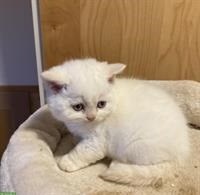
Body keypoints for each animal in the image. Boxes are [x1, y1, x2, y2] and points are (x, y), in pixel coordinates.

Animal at [41, 58, 189, 187]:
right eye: (78, 107)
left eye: (101, 104)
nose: (91, 117)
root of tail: (183, 152)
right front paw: (75, 140)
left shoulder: (97, 141)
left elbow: (82, 151)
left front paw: (67, 161)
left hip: (137, 147)